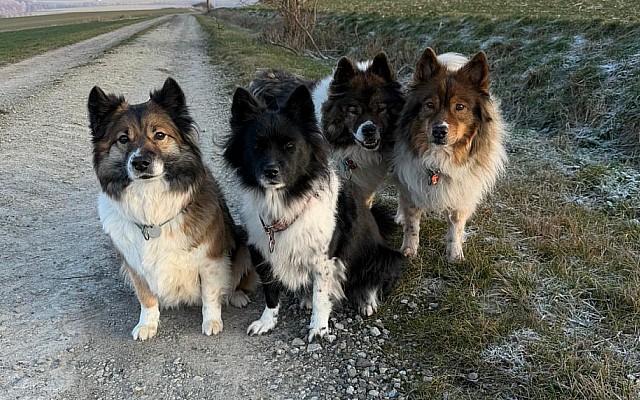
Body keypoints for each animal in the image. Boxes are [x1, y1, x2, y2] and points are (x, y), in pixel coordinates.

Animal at [88, 77, 257, 340]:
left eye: (159, 135)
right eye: (123, 139)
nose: (140, 163)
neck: (152, 209)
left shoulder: (210, 257)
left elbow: (210, 293)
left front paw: (212, 321)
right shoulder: (134, 263)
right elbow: (146, 297)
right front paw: (147, 324)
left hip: (242, 241)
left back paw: (237, 296)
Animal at [223, 84, 404, 342]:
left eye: (290, 146)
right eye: (256, 146)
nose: (271, 172)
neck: (285, 201)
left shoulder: (324, 259)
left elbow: (321, 295)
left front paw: (318, 327)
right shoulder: (263, 252)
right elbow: (270, 292)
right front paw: (267, 322)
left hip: (382, 257)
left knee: (373, 281)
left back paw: (366, 301)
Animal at [392, 48, 507, 261]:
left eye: (459, 107)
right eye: (430, 105)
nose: (439, 131)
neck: (441, 158)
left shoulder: (463, 191)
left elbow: (456, 227)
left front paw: (455, 255)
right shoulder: (411, 183)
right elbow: (412, 225)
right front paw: (409, 251)